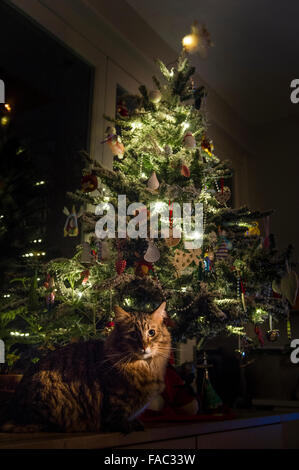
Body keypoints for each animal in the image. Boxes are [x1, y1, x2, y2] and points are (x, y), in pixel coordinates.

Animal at [0, 302, 171, 432]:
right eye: (133, 335)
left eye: (151, 332)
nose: (144, 347)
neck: (145, 366)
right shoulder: (115, 401)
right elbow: (117, 419)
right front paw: (128, 426)